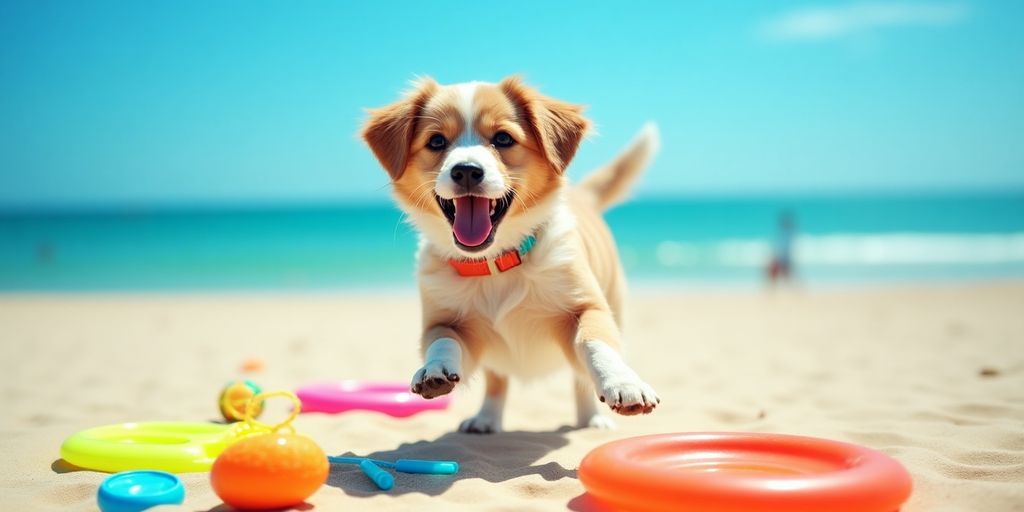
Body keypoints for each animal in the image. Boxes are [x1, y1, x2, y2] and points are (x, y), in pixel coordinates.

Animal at [364, 77, 659, 434]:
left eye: (503, 138)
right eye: (436, 141)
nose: (466, 171)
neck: (496, 264)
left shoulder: (587, 307)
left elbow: (595, 345)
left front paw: (623, 382)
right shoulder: (444, 321)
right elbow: (442, 342)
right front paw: (433, 370)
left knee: (579, 378)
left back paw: (592, 418)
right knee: (497, 380)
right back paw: (486, 418)